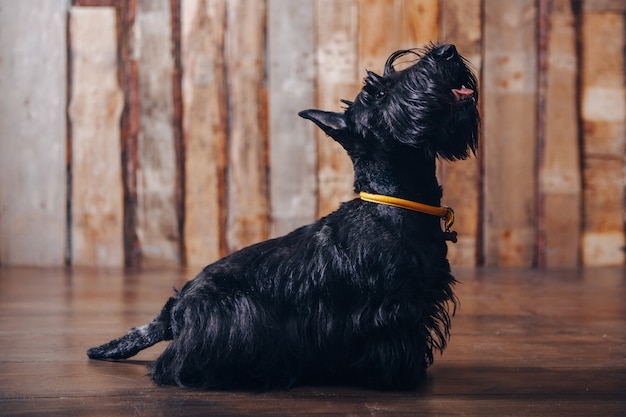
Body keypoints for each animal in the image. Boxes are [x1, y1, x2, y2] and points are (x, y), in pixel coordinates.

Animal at [86, 44, 478, 388]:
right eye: (377, 93)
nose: (448, 52)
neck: (394, 203)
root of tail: (175, 309)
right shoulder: (391, 310)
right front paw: (401, 379)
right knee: (172, 369)